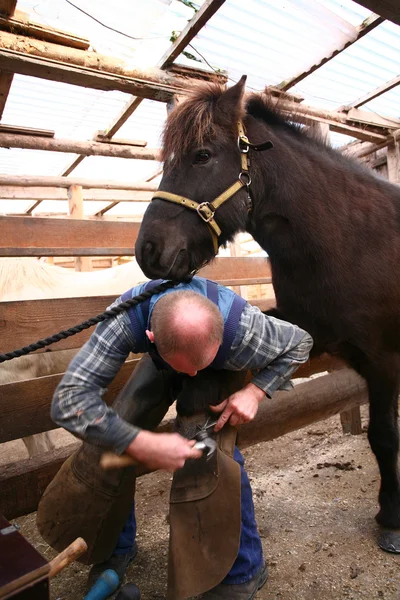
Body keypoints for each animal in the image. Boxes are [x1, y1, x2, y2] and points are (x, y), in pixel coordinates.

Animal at [135, 75, 400, 552]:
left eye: (202, 155)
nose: (147, 250)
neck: (349, 239)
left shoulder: (384, 359)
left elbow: (385, 437)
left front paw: (390, 518)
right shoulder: (307, 329)